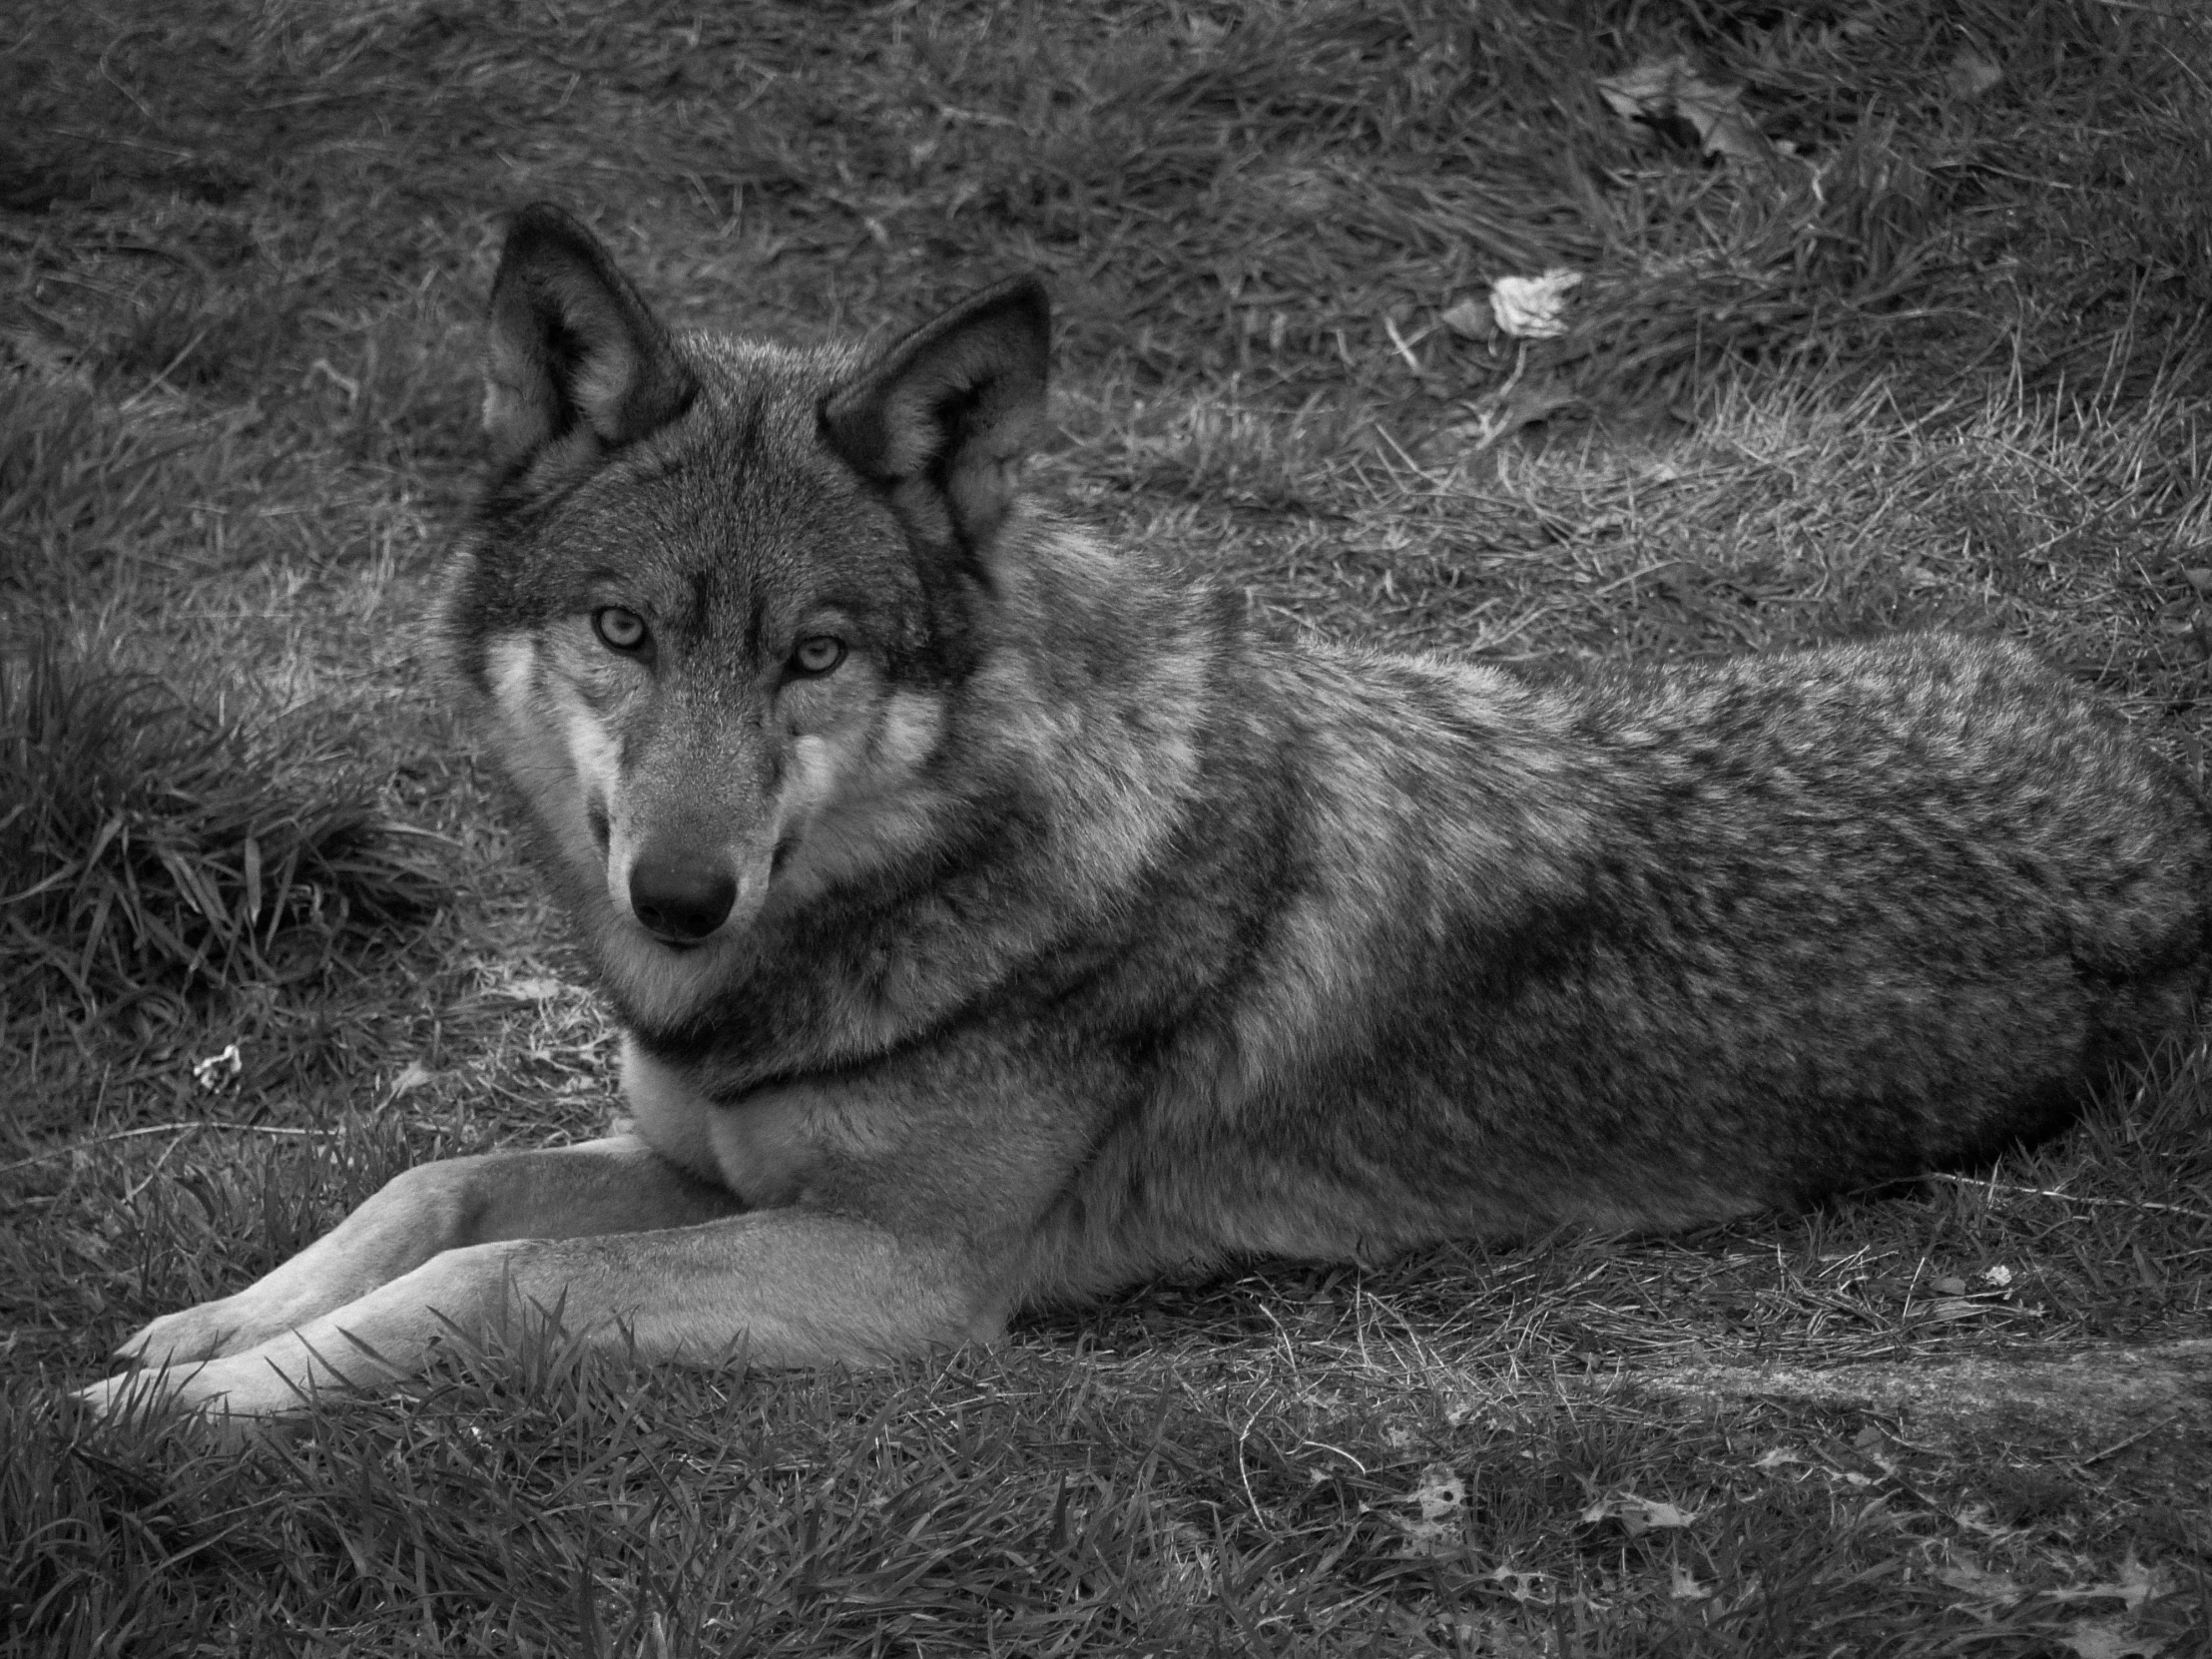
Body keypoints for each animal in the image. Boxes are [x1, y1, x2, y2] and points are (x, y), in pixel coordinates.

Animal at [90, 201, 2212, 1424]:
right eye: (626, 629)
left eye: (817, 655)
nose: (682, 895)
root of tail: (2149, 790)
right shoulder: (710, 1173)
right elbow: (431, 1185)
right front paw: (200, 1329)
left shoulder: (897, 1276)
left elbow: (492, 1270)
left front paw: (195, 1408)